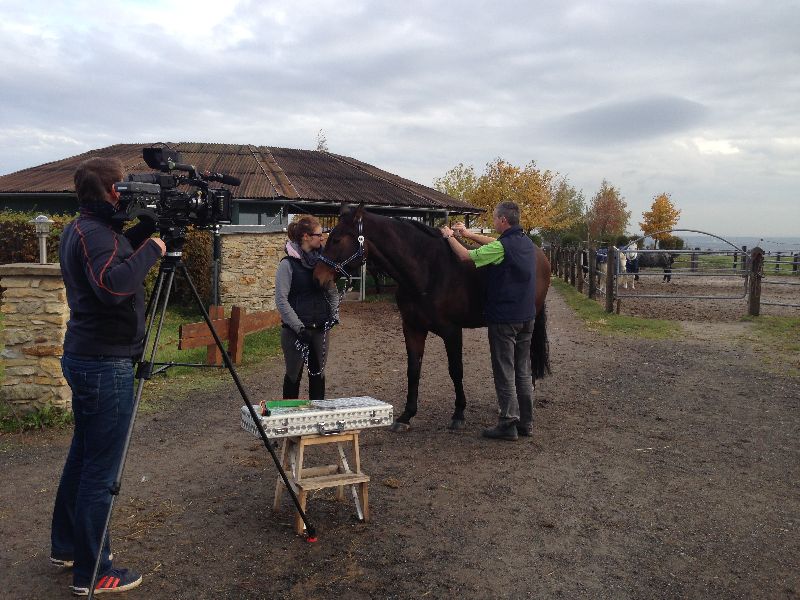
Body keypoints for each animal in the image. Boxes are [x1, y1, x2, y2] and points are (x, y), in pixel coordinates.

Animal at [313, 205, 551, 433]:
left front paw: (458, 414)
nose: (317, 278)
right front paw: (406, 416)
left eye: (336, 239)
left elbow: (456, 370)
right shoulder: (412, 328)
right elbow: (413, 370)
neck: (426, 271)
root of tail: (539, 254)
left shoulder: (452, 331)